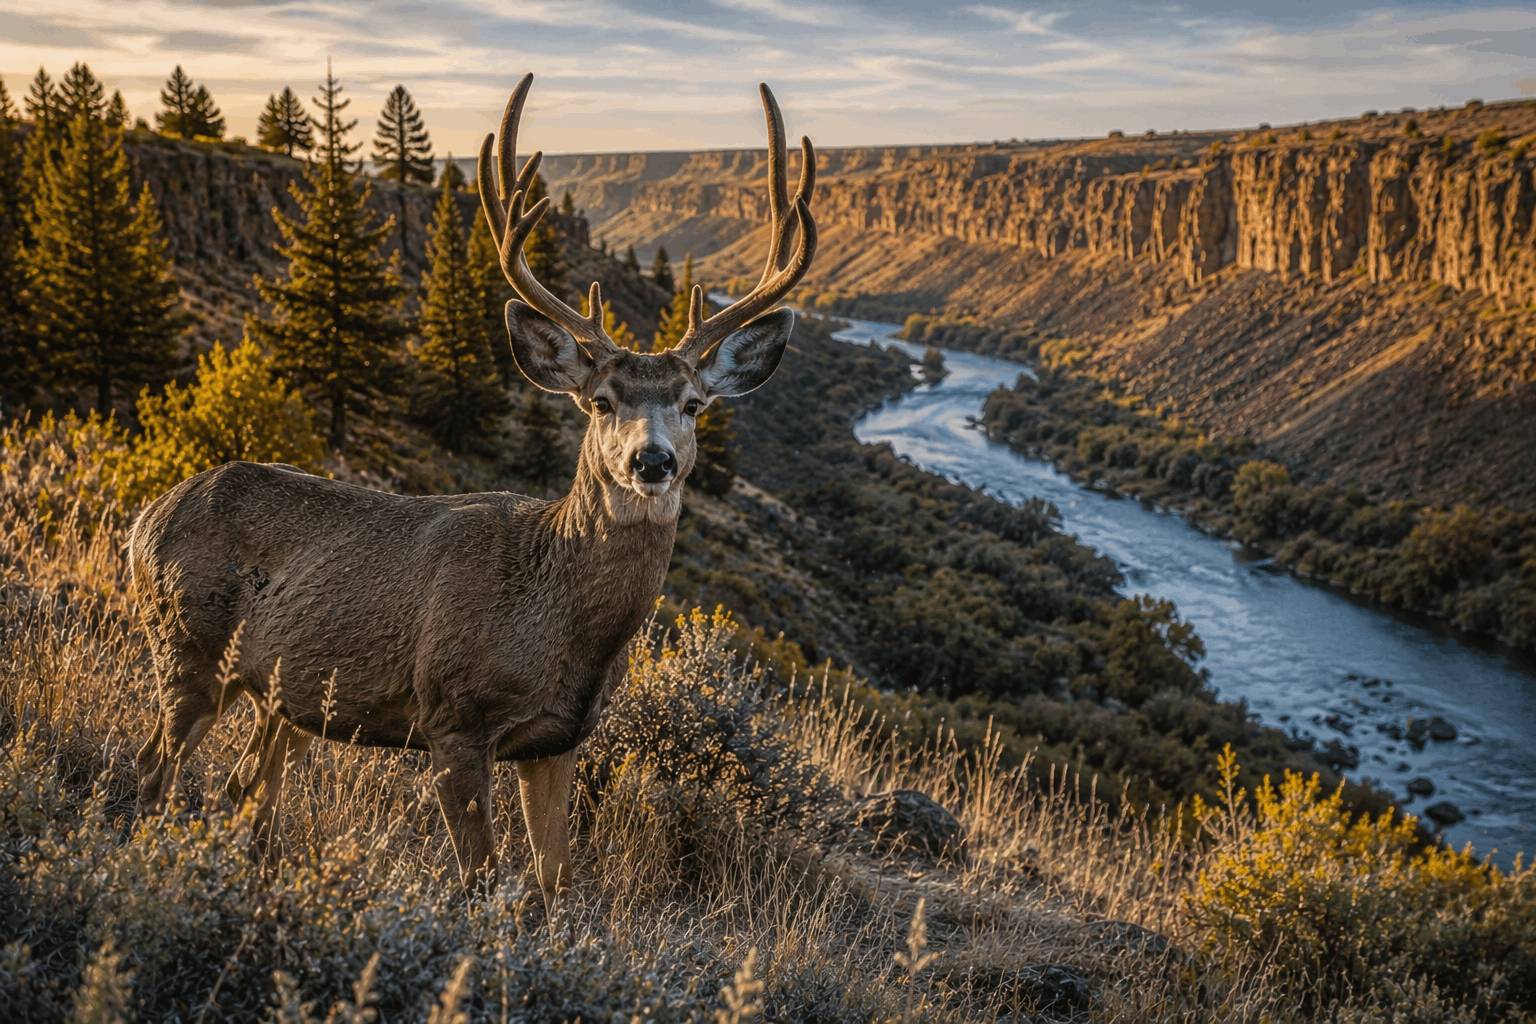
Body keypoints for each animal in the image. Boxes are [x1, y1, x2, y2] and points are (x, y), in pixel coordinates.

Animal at [130, 72, 817, 915]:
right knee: (153, 771)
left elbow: (554, 883)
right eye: (600, 401)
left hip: (278, 694)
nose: (651, 460)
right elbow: (480, 877)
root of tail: (144, 519)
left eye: (694, 405)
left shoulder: (558, 741)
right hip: (185, 643)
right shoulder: (453, 717)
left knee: (242, 791)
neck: (556, 621)